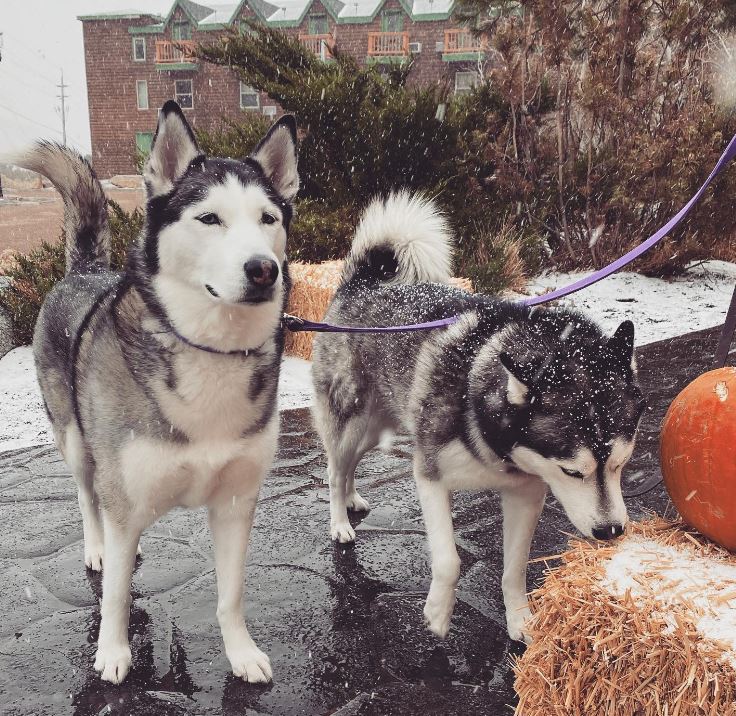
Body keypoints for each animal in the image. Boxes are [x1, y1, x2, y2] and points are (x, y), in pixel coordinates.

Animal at [13, 100, 300, 684]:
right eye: (209, 218)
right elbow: (116, 596)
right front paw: (113, 653)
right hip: (76, 443)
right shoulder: (122, 491)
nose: (264, 269)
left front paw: (240, 653)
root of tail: (85, 270)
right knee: (90, 500)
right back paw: (97, 547)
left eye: (268, 218)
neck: (210, 349)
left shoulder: (236, 502)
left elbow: (230, 594)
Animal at [310, 192, 644, 644]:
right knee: (334, 467)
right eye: (573, 472)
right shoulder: (430, 477)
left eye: (620, 465)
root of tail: (362, 284)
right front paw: (437, 614)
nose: (610, 532)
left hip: (381, 427)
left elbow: (514, 568)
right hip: (352, 421)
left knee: (348, 467)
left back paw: (351, 498)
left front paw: (520, 619)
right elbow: (449, 561)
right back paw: (339, 520)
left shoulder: (526, 492)